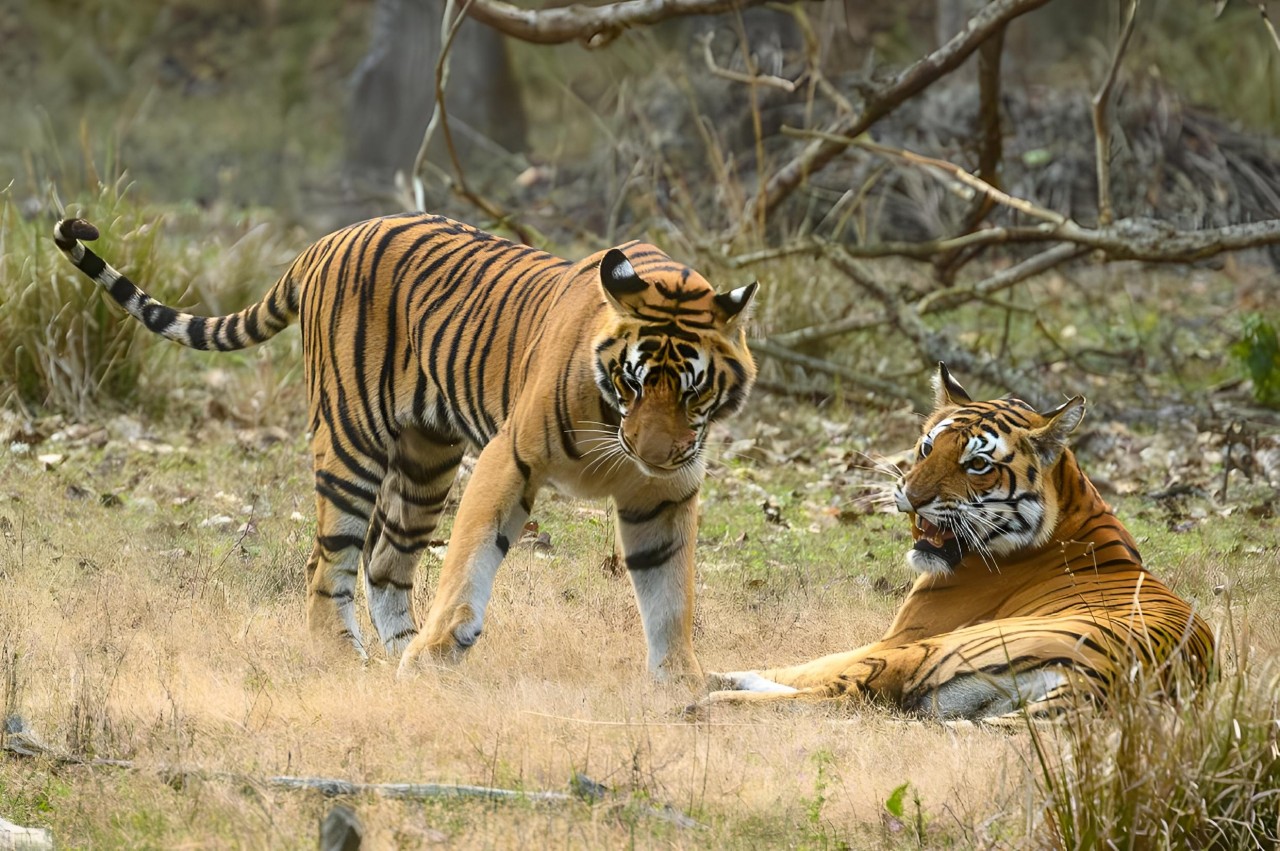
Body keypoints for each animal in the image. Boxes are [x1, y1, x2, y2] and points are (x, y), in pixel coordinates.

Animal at [55, 213, 752, 685]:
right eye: (632, 381)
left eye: (691, 390)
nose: (653, 453)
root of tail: (328, 239)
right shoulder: (511, 456)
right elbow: (469, 559)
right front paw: (436, 651)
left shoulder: (663, 496)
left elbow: (670, 594)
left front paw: (681, 686)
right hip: (351, 441)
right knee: (328, 560)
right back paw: (345, 656)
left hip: (426, 458)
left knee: (386, 560)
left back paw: (398, 651)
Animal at [716, 360, 1213, 721]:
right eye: (926, 448)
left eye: (977, 464)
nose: (911, 497)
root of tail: (1109, 682)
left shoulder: (900, 636)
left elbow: (812, 662)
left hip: (936, 648)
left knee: (844, 695)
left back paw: (714, 693)